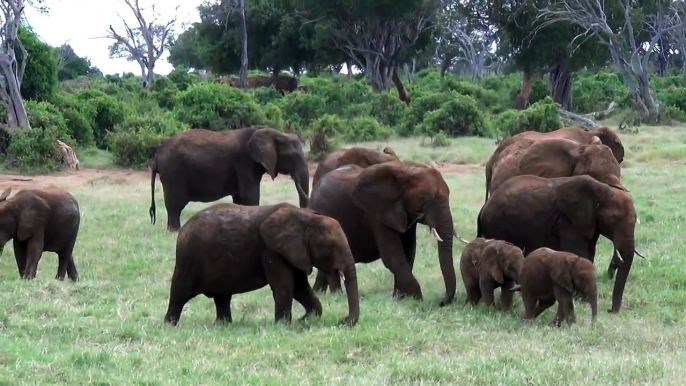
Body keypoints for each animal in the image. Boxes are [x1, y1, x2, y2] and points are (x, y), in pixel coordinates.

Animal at [153, 125, 312, 231]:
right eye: (295, 157)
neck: (273, 133)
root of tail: (157, 155)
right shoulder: (245, 163)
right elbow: (250, 196)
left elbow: (240, 198)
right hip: (173, 172)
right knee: (175, 205)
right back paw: (175, 231)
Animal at [165, 202, 362, 328]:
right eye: (329, 247)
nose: (342, 321)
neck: (306, 216)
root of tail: (182, 230)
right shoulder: (271, 250)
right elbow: (285, 287)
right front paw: (284, 325)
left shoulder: (293, 251)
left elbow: (300, 287)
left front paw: (306, 320)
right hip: (189, 257)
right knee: (180, 292)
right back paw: (170, 325)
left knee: (222, 297)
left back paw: (223, 325)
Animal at [306, 161, 456, 306]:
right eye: (423, 197)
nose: (441, 301)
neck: (406, 170)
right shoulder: (376, 212)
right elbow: (392, 256)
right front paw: (417, 300)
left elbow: (409, 251)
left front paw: (399, 298)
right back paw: (335, 295)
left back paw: (321, 293)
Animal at [478, 175, 640, 314]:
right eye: (612, 221)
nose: (610, 310)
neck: (603, 189)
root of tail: (484, 207)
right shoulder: (568, 221)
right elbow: (579, 253)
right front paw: (581, 300)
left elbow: (589, 253)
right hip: (496, 225)